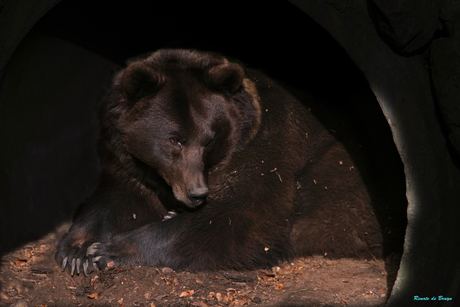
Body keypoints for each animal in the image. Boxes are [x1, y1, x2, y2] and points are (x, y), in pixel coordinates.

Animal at [55, 50, 382, 276]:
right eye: (175, 140)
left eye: (210, 139)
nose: (197, 193)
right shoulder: (131, 163)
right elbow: (117, 198)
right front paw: (76, 250)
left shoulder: (267, 147)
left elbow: (239, 219)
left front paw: (108, 249)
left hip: (337, 170)